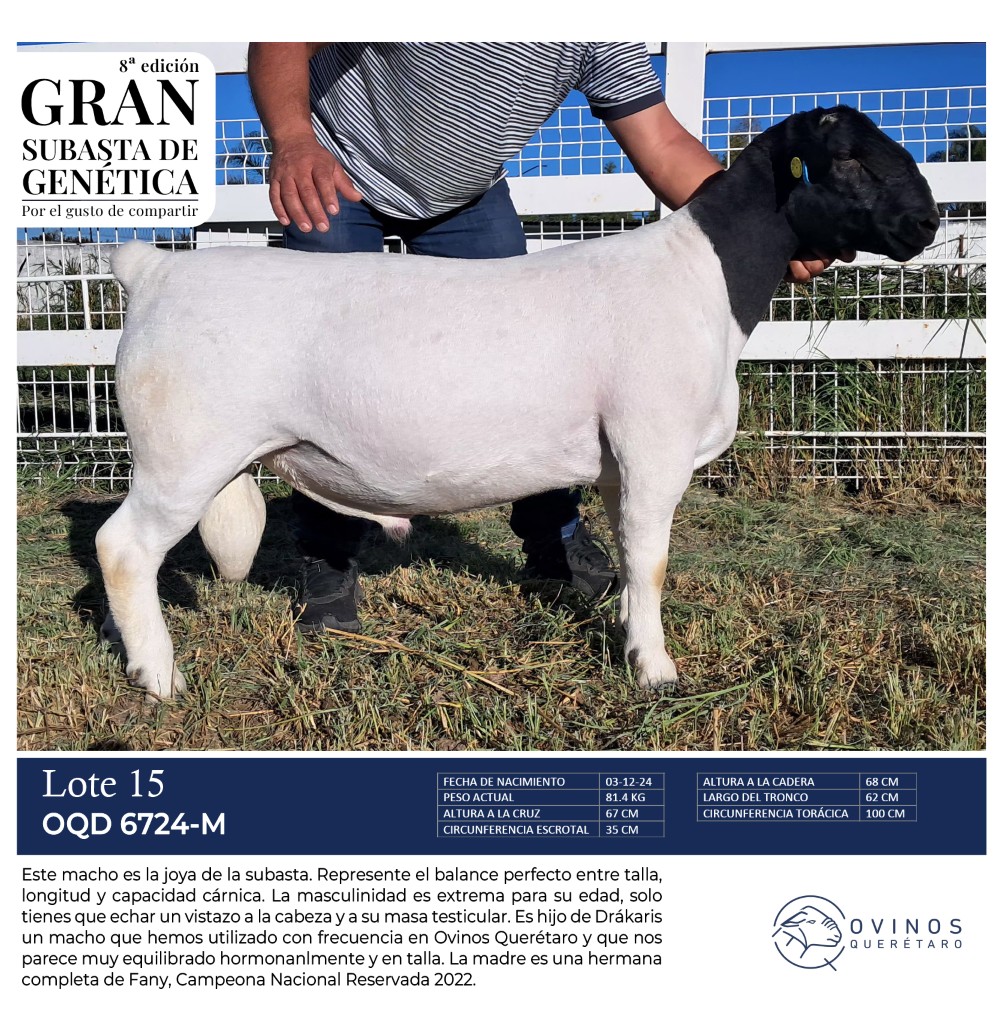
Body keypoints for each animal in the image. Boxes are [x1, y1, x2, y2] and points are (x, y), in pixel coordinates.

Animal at [97, 105, 938, 699]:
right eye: (850, 159)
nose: (926, 223)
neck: (706, 279)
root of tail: (155, 271)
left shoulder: (616, 463)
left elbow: (628, 560)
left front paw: (627, 634)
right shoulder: (653, 446)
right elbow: (654, 562)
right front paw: (656, 670)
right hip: (182, 453)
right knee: (122, 548)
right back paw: (160, 679)